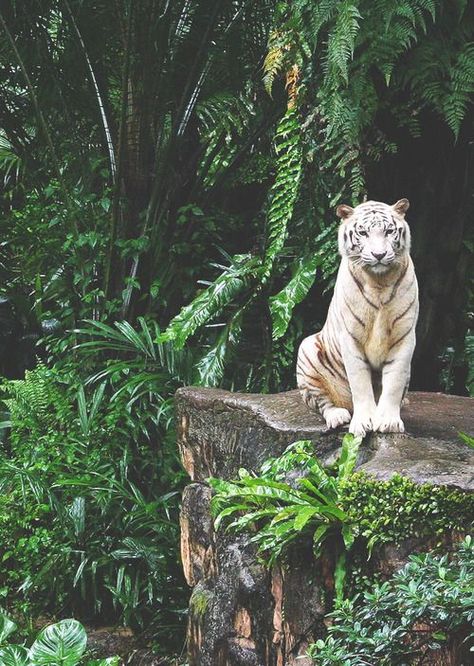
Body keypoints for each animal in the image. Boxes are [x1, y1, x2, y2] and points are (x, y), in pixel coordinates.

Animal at [296, 197, 418, 436]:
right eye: (362, 233)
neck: (379, 282)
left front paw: (388, 422)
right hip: (307, 349)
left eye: (389, 231)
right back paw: (337, 416)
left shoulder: (404, 336)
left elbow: (395, 381)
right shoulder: (350, 337)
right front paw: (364, 422)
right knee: (322, 402)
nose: (379, 255)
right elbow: (360, 382)